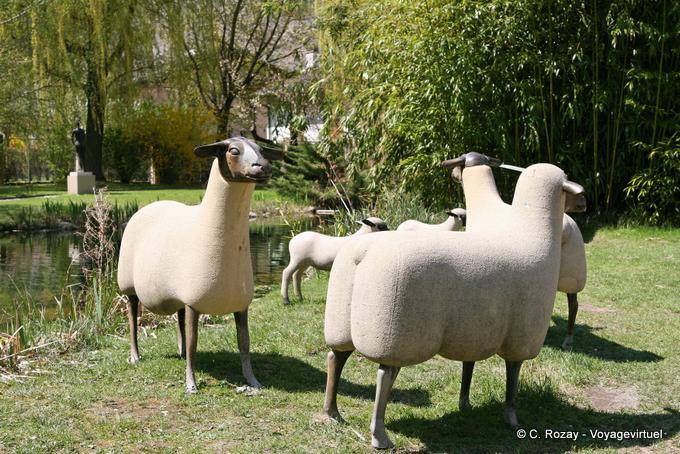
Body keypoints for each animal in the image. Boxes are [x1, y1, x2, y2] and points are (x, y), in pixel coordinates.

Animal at [117, 136, 282, 393]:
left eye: (262, 150)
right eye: (233, 150)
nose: (263, 167)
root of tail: (148, 207)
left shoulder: (239, 305)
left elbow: (244, 344)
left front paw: (252, 380)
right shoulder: (194, 302)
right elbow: (195, 344)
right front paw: (191, 385)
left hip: (178, 293)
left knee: (179, 321)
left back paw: (181, 353)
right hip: (129, 286)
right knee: (133, 318)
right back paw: (135, 356)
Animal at [322, 162, 586, 449]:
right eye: (568, 184)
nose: (584, 203)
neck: (531, 235)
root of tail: (362, 256)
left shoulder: (474, 329)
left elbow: (468, 365)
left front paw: (465, 404)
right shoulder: (522, 336)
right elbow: (513, 376)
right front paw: (512, 418)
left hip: (343, 322)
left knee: (336, 357)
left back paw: (332, 412)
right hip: (398, 334)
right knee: (385, 374)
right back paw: (379, 436)